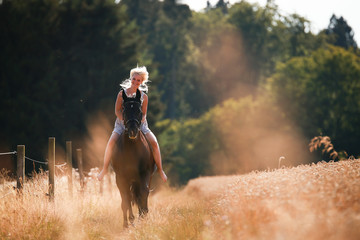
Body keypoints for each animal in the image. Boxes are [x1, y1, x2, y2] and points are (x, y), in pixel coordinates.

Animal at [112, 89, 155, 228]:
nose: (132, 131)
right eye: (124, 110)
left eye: (139, 110)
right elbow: (125, 199)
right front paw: (127, 223)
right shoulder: (121, 177)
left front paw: (143, 216)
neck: (132, 149)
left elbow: (143, 193)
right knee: (129, 196)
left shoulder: (144, 174)